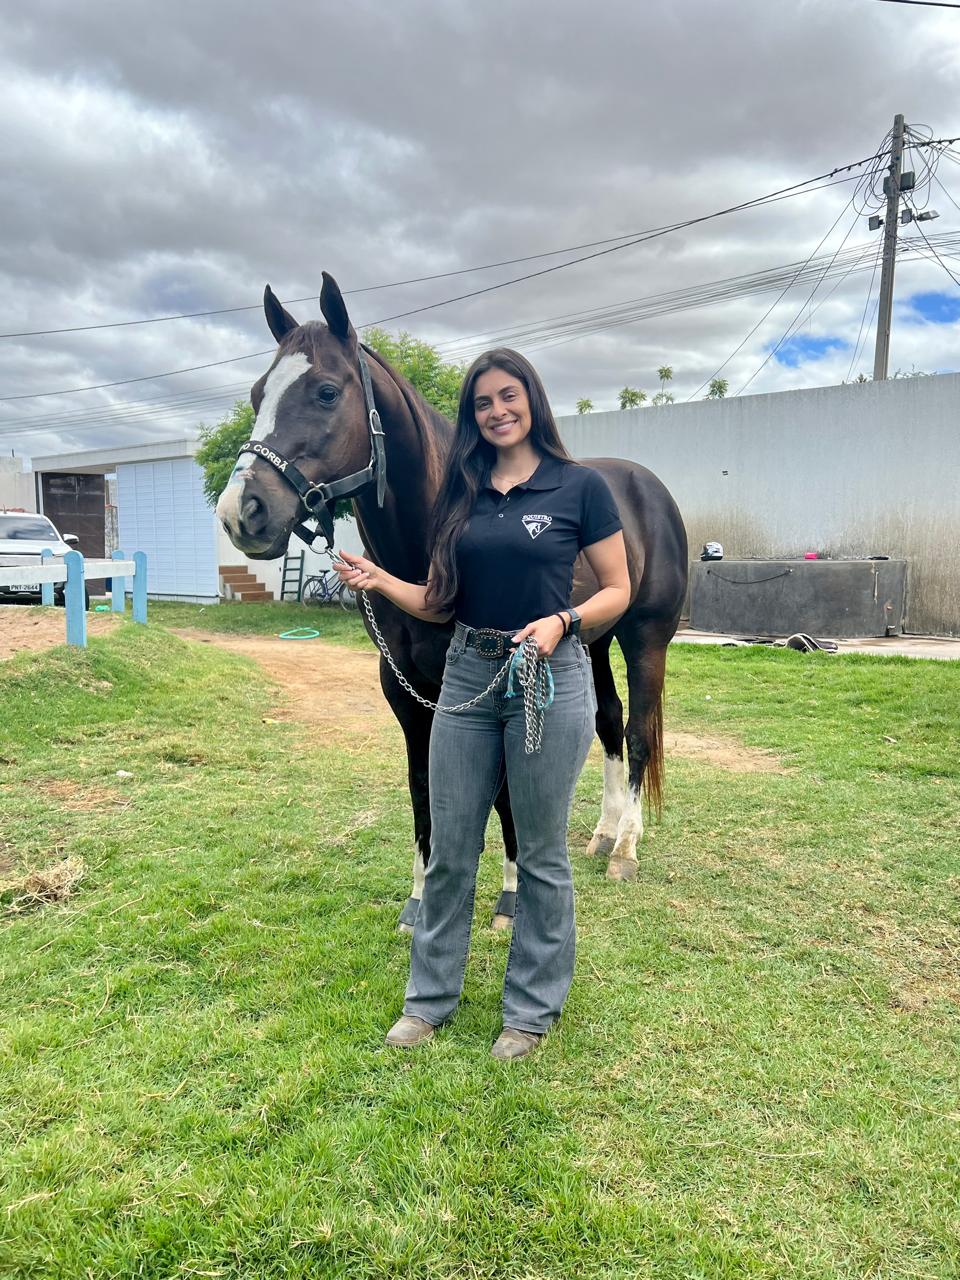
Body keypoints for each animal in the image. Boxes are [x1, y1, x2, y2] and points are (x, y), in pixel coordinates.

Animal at [216, 270, 691, 931]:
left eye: (327, 392)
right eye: (259, 393)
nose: (242, 513)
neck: (429, 548)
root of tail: (646, 486)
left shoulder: (498, 681)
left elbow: (503, 791)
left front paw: (510, 899)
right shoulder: (404, 690)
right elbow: (424, 786)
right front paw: (420, 901)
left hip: (645, 638)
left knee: (640, 729)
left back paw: (625, 848)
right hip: (591, 643)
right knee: (610, 722)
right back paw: (601, 833)